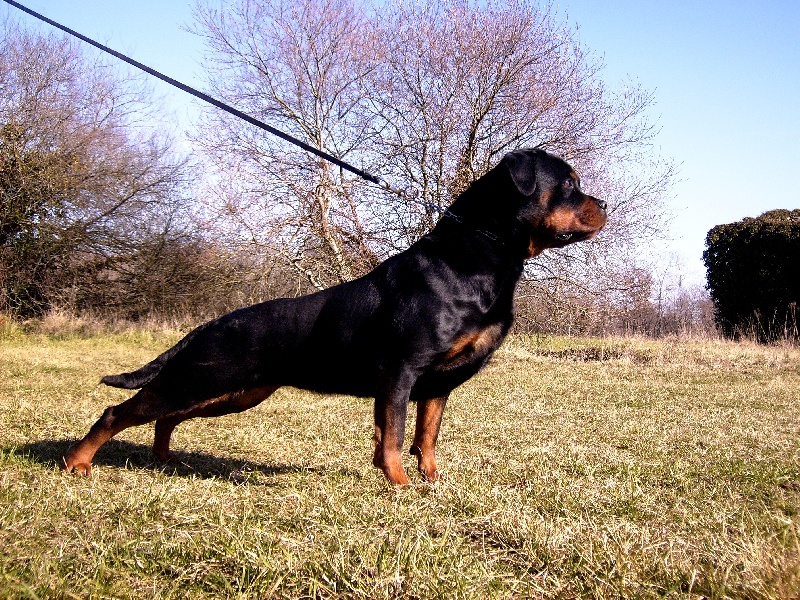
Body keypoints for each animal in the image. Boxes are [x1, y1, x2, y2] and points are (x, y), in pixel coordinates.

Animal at [62, 148, 607, 485]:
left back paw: (163, 459)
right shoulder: (401, 371)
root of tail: (209, 325)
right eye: (569, 184)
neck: (481, 253)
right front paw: (399, 485)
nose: (604, 203)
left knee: (165, 416)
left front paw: (431, 481)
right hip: (203, 379)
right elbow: (393, 436)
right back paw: (77, 462)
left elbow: (426, 437)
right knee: (120, 412)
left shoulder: (438, 384)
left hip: (229, 392)